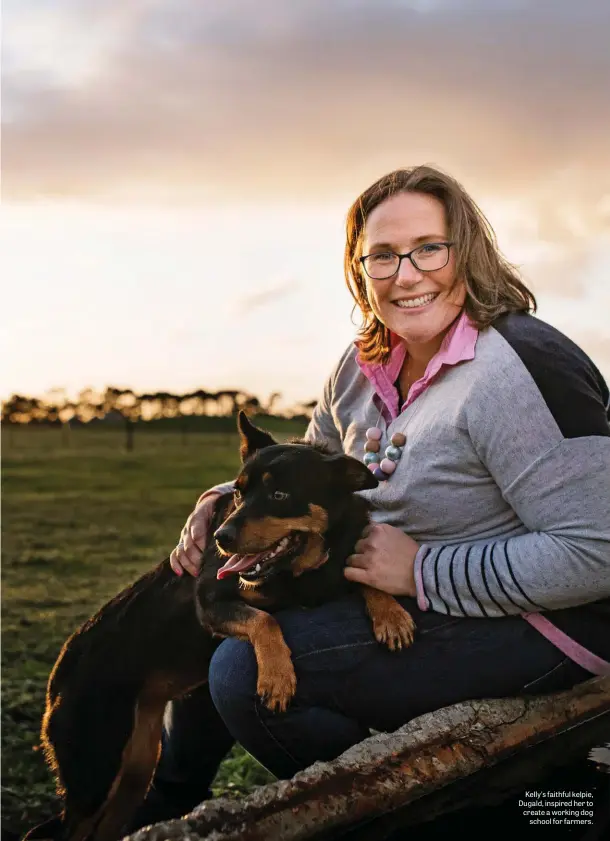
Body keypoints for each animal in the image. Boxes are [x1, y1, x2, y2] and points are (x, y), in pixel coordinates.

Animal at [25, 412, 414, 840]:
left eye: (280, 496)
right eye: (240, 494)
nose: (220, 537)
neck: (304, 564)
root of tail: (57, 678)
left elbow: (359, 575)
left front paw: (391, 616)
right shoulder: (211, 602)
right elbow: (263, 619)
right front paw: (277, 677)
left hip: (133, 769)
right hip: (96, 771)